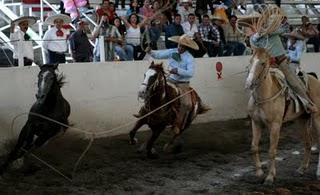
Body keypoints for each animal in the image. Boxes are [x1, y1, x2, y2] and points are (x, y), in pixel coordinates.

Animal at [246, 47, 320, 184]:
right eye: (251, 61)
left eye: (263, 63)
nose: (249, 83)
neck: (265, 95)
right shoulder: (256, 122)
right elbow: (254, 146)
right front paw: (259, 173)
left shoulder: (276, 125)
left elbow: (272, 150)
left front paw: (270, 177)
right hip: (301, 121)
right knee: (308, 143)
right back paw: (301, 169)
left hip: (317, 118)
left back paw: (318, 172)